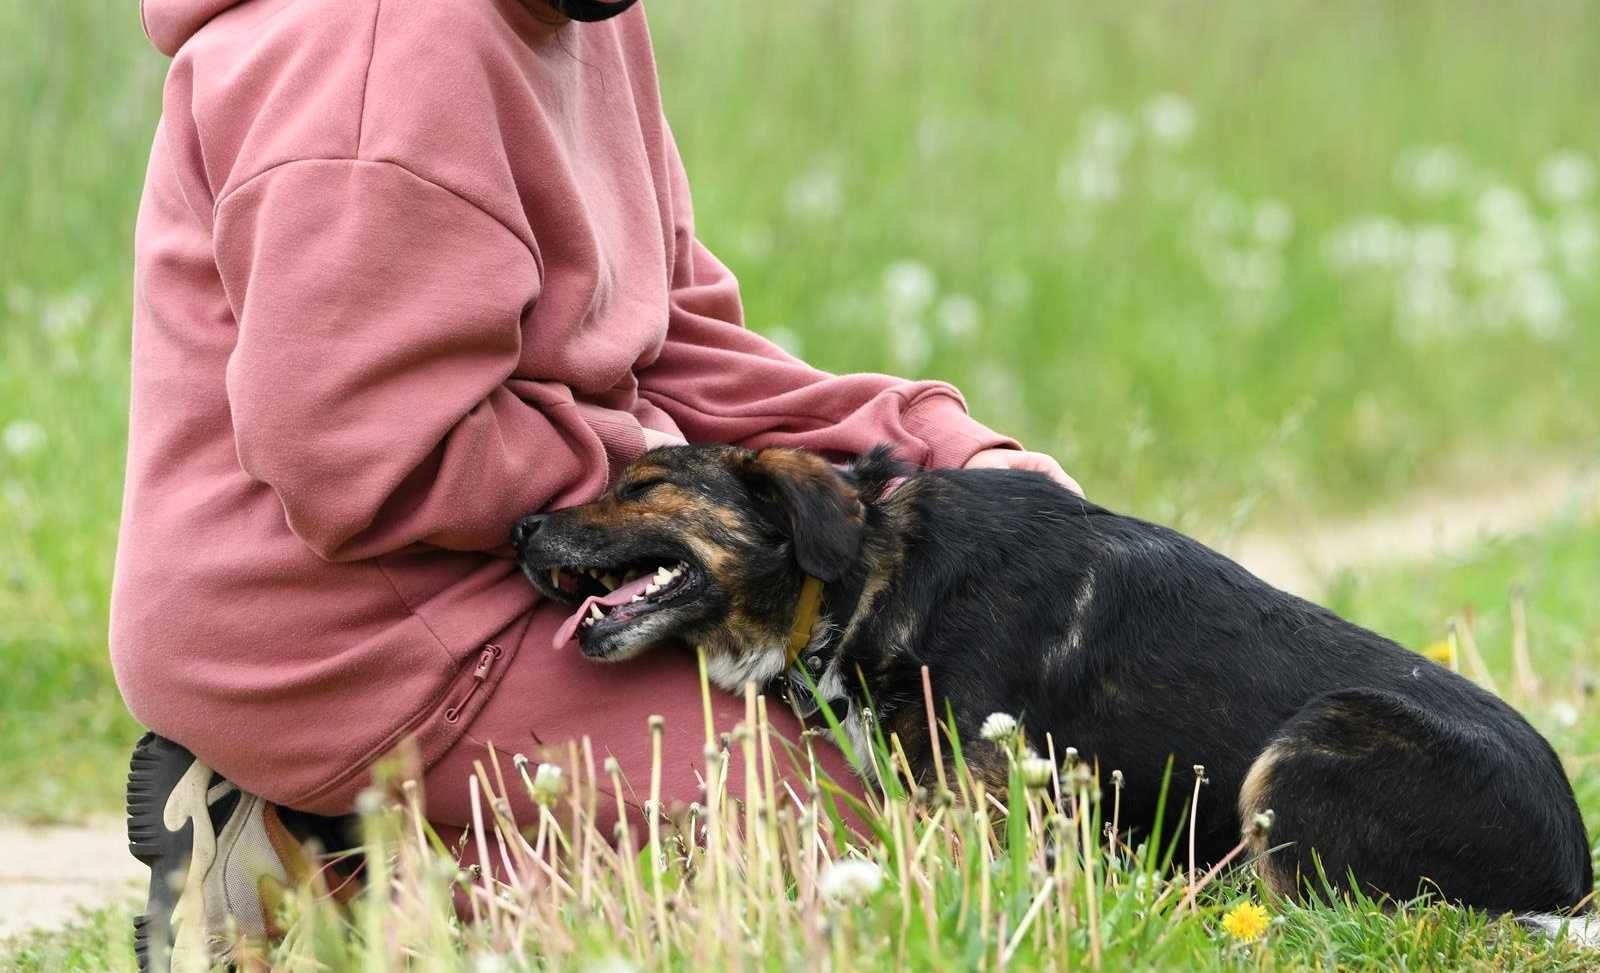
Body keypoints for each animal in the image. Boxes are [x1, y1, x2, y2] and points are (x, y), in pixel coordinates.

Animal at [518, 444, 1593, 915]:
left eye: (643, 485)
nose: (521, 526)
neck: (862, 575)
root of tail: (1572, 874)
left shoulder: (982, 805)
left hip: (1308, 747)